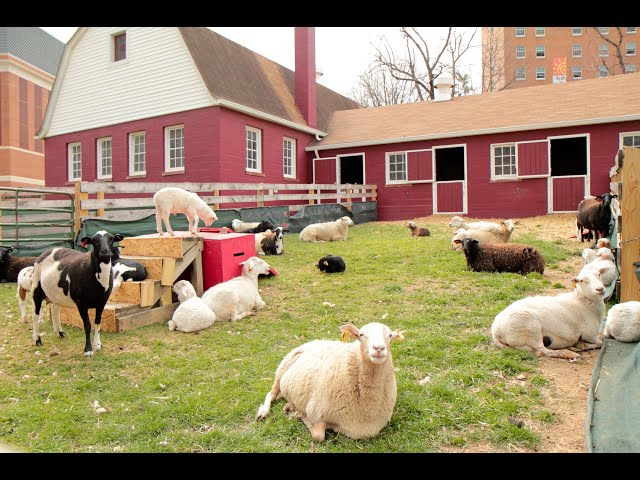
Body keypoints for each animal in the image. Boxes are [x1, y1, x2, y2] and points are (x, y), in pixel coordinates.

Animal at [255, 322, 404, 442]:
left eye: (390, 335)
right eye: (361, 334)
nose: (378, 348)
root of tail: (313, 341)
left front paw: (292, 410)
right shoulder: (317, 412)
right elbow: (318, 436)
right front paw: (298, 414)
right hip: (281, 370)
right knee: (271, 393)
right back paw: (263, 411)